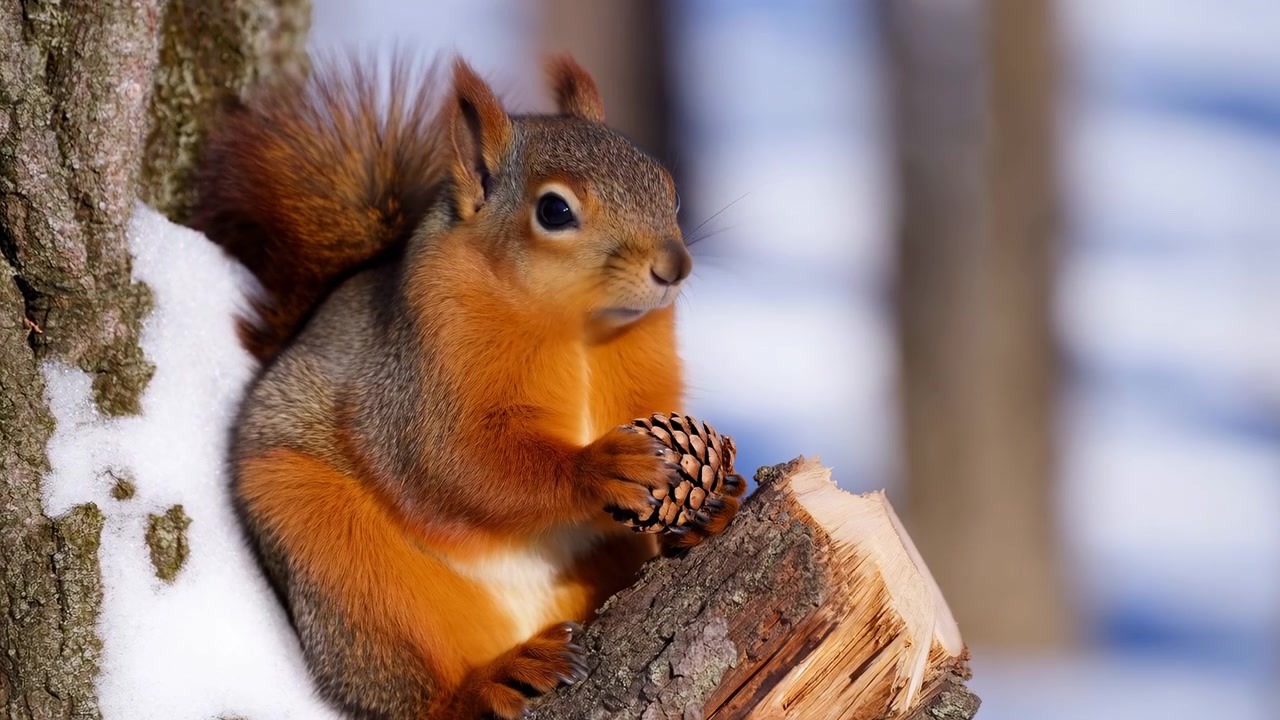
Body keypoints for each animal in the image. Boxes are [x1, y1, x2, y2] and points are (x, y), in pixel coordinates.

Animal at [189, 52, 740, 720]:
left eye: (668, 186)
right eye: (554, 211)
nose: (674, 267)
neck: (578, 330)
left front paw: (710, 500)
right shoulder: (416, 385)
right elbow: (457, 462)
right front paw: (601, 466)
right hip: (340, 559)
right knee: (411, 691)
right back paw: (490, 682)